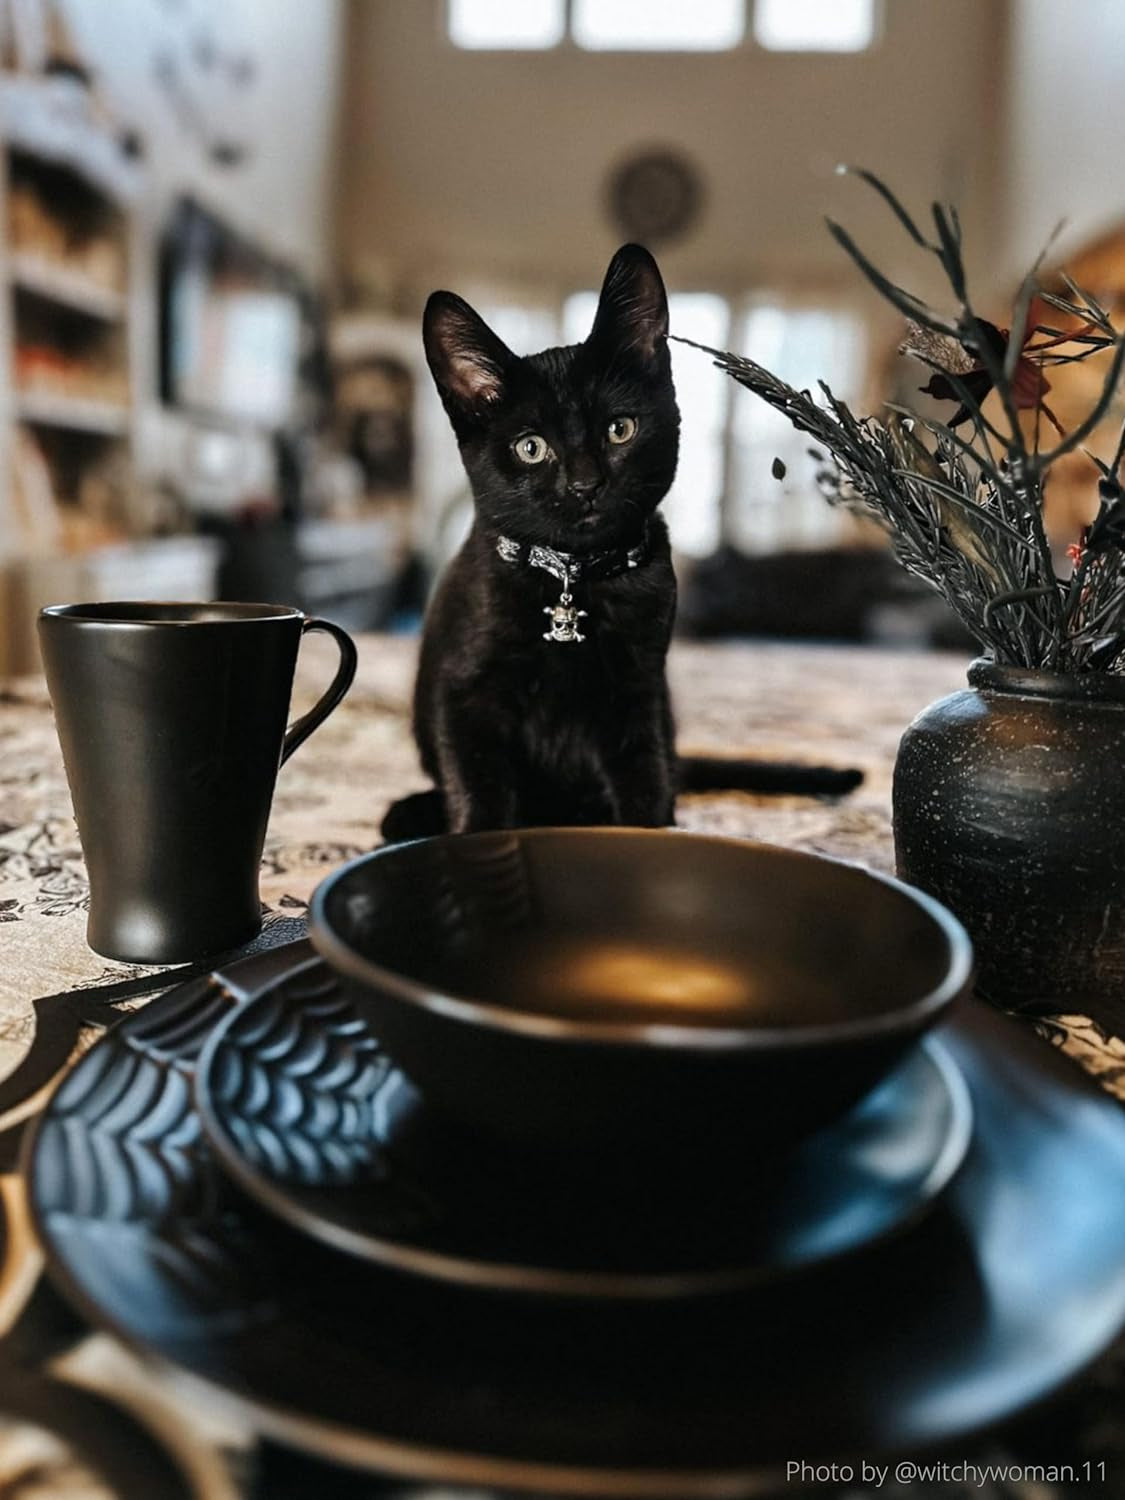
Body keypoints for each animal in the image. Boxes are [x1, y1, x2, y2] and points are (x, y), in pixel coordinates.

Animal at [381, 240, 864, 840]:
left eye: (620, 430)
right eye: (531, 448)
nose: (586, 485)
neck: (571, 575)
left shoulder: (638, 690)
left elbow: (646, 779)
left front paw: (646, 837)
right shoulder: (465, 693)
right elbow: (478, 782)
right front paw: (471, 839)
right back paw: (410, 812)